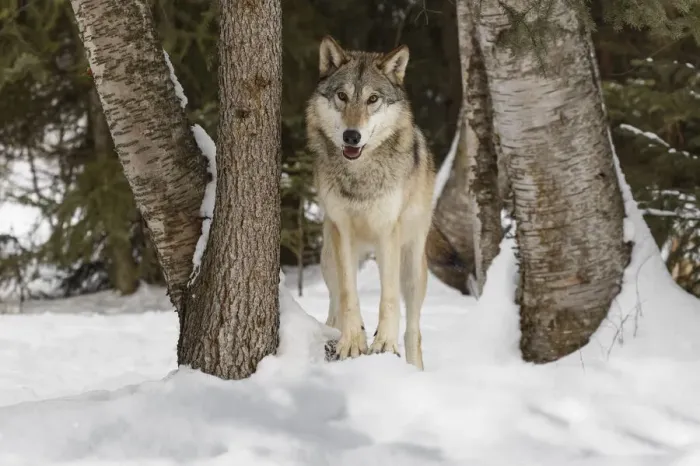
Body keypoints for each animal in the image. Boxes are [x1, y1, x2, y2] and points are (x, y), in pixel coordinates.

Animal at [305, 36, 436, 370]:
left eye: (372, 99)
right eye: (342, 96)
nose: (352, 136)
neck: (360, 176)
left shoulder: (387, 232)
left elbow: (388, 298)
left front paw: (384, 343)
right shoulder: (341, 230)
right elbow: (349, 296)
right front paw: (352, 342)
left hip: (412, 268)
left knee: (414, 329)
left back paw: (414, 368)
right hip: (329, 258)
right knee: (334, 304)